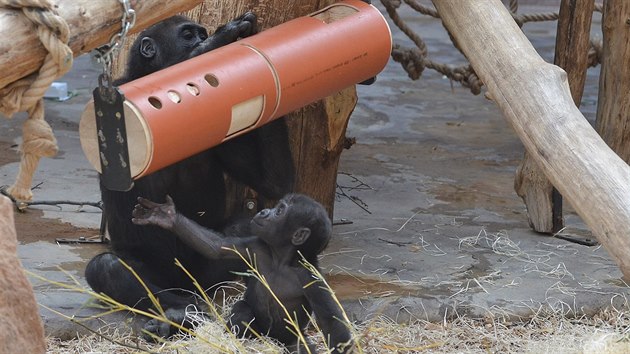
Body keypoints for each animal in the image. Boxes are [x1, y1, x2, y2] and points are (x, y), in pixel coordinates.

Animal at [131, 195, 354, 352]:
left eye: (280, 211)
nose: (264, 211)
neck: (281, 259)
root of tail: (270, 340)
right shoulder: (254, 246)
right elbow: (216, 247)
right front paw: (167, 216)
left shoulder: (311, 277)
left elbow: (332, 322)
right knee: (242, 310)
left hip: (288, 340)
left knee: (298, 346)